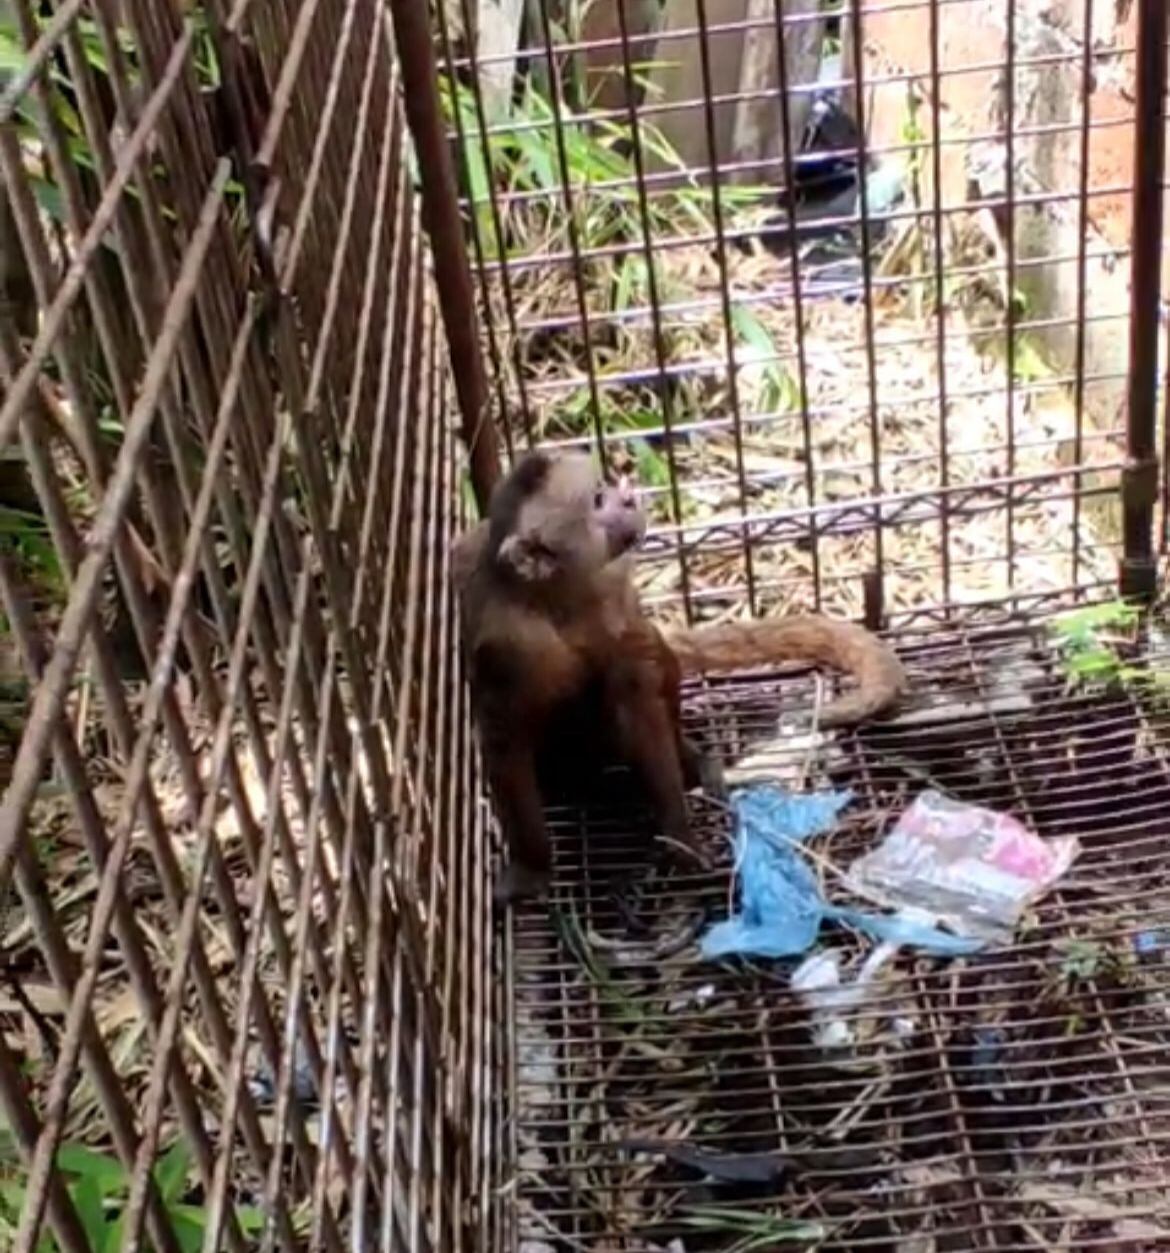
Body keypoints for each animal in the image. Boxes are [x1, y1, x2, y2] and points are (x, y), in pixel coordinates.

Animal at [453, 450, 907, 906]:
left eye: (604, 487)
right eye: (598, 499)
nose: (628, 498)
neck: (555, 600)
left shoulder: (613, 591)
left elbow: (640, 704)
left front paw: (678, 833)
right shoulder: (506, 641)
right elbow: (504, 742)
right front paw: (531, 867)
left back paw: (693, 762)